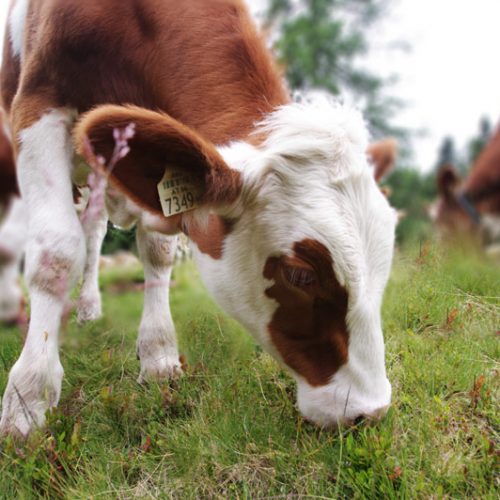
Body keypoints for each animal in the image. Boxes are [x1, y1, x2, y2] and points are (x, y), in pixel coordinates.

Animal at [0, 0, 398, 438]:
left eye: (384, 264)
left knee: (94, 228)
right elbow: (54, 253)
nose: (370, 410)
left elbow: (158, 250)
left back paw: (88, 306)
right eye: (300, 274)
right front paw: (28, 397)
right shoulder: (37, 105)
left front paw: (158, 354)